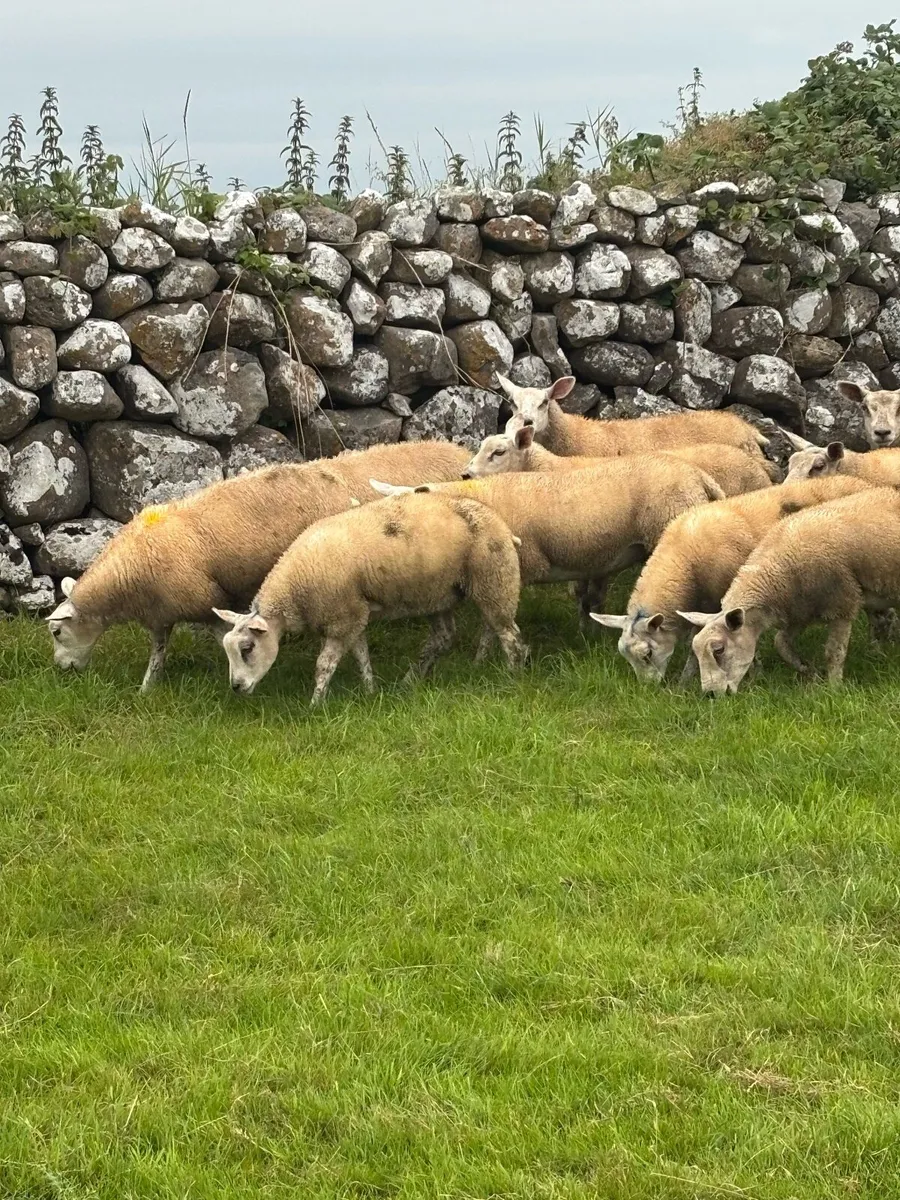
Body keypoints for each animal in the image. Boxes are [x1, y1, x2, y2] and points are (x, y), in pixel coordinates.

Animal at [45, 439, 470, 691]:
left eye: (57, 632)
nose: (62, 671)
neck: (129, 577)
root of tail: (459, 452)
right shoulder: (163, 612)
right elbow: (158, 651)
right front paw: (149, 688)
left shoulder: (207, 603)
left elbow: (225, 638)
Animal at [213, 490, 528, 704]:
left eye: (247, 648)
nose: (236, 687)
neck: (294, 589)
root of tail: (501, 523)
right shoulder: (353, 614)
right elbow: (361, 654)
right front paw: (370, 690)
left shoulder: (343, 618)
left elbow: (324, 665)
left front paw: (315, 703)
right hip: (439, 592)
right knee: (446, 637)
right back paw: (411, 679)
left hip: (494, 580)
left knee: (510, 635)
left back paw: (512, 676)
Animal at [592, 475, 873, 684]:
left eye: (647, 654)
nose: (648, 688)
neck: (685, 562)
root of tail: (861, 482)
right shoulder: (701, 606)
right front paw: (685, 683)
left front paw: (752, 675)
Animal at [679, 486, 900, 695]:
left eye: (719, 650)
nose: (710, 695)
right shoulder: (800, 611)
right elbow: (781, 643)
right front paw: (808, 671)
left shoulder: (841, 603)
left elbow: (834, 652)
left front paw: (834, 688)